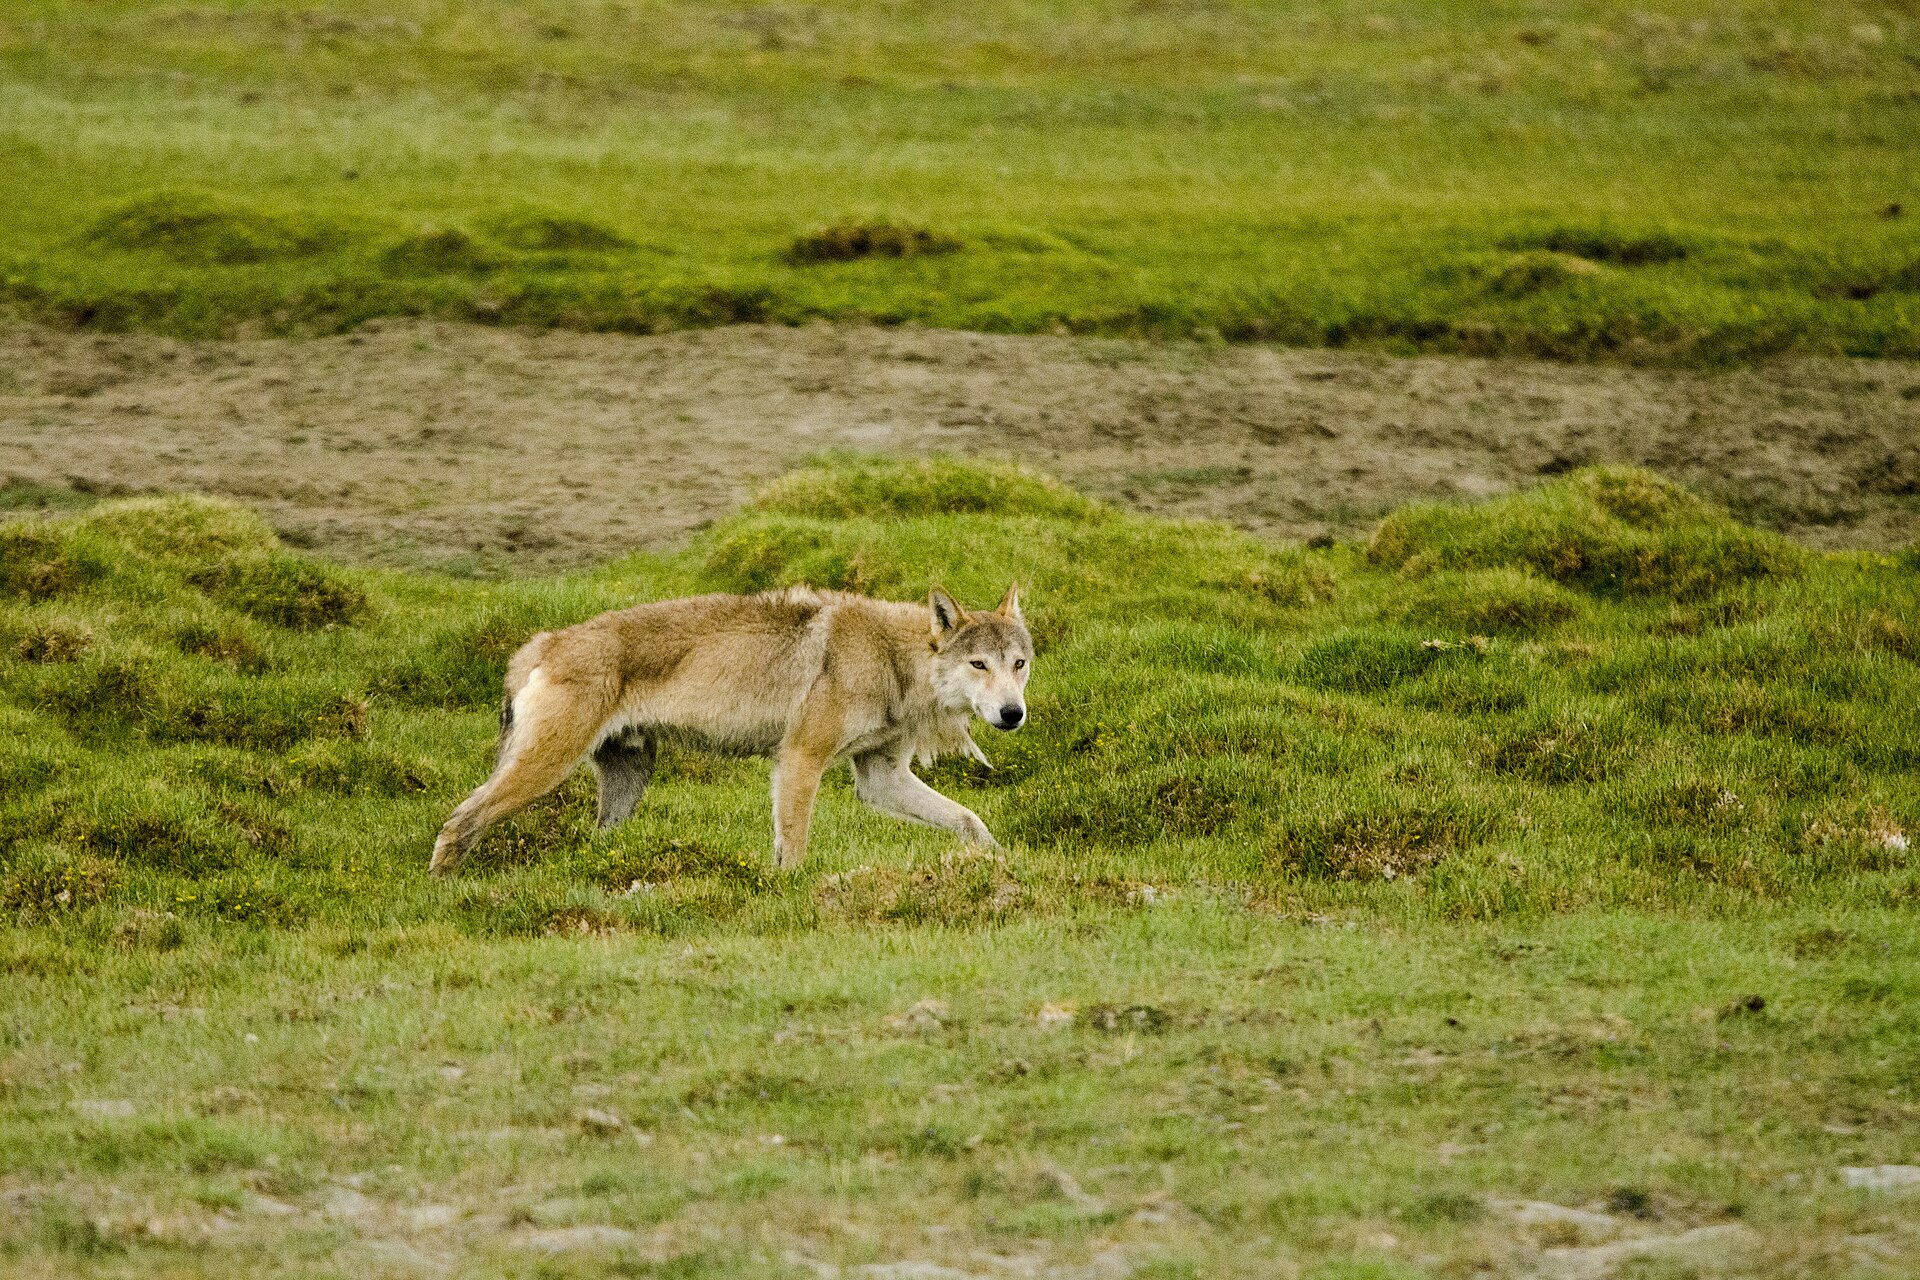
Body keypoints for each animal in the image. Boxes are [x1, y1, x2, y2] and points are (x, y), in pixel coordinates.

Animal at [428, 584, 1032, 876]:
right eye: (980, 665)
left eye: (1019, 664)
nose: (1012, 714)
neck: (892, 657)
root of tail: (540, 643)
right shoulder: (800, 760)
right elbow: (794, 848)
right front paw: (789, 895)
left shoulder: (880, 779)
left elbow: (972, 822)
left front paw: (999, 865)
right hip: (544, 771)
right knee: (459, 822)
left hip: (627, 784)